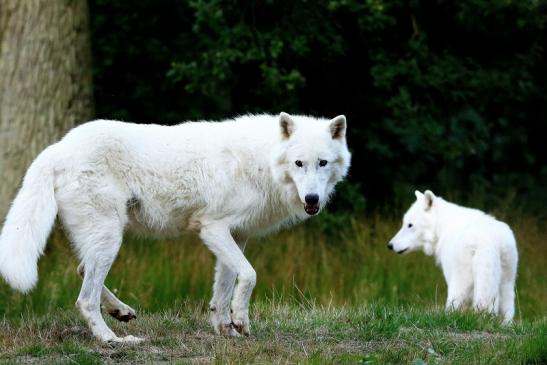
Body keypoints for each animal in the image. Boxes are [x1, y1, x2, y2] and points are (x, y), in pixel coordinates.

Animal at [0, 111, 352, 342]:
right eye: (298, 163)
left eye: (322, 163)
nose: (312, 199)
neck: (261, 162)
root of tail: (56, 148)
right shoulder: (212, 228)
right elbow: (250, 275)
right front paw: (240, 320)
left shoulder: (235, 235)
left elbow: (223, 289)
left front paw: (225, 329)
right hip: (110, 238)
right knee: (84, 299)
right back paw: (112, 341)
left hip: (103, 239)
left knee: (81, 271)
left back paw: (121, 312)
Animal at [390, 191, 520, 322]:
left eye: (410, 225)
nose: (390, 245)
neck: (442, 226)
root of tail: (489, 241)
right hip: (507, 284)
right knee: (507, 312)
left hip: (460, 285)